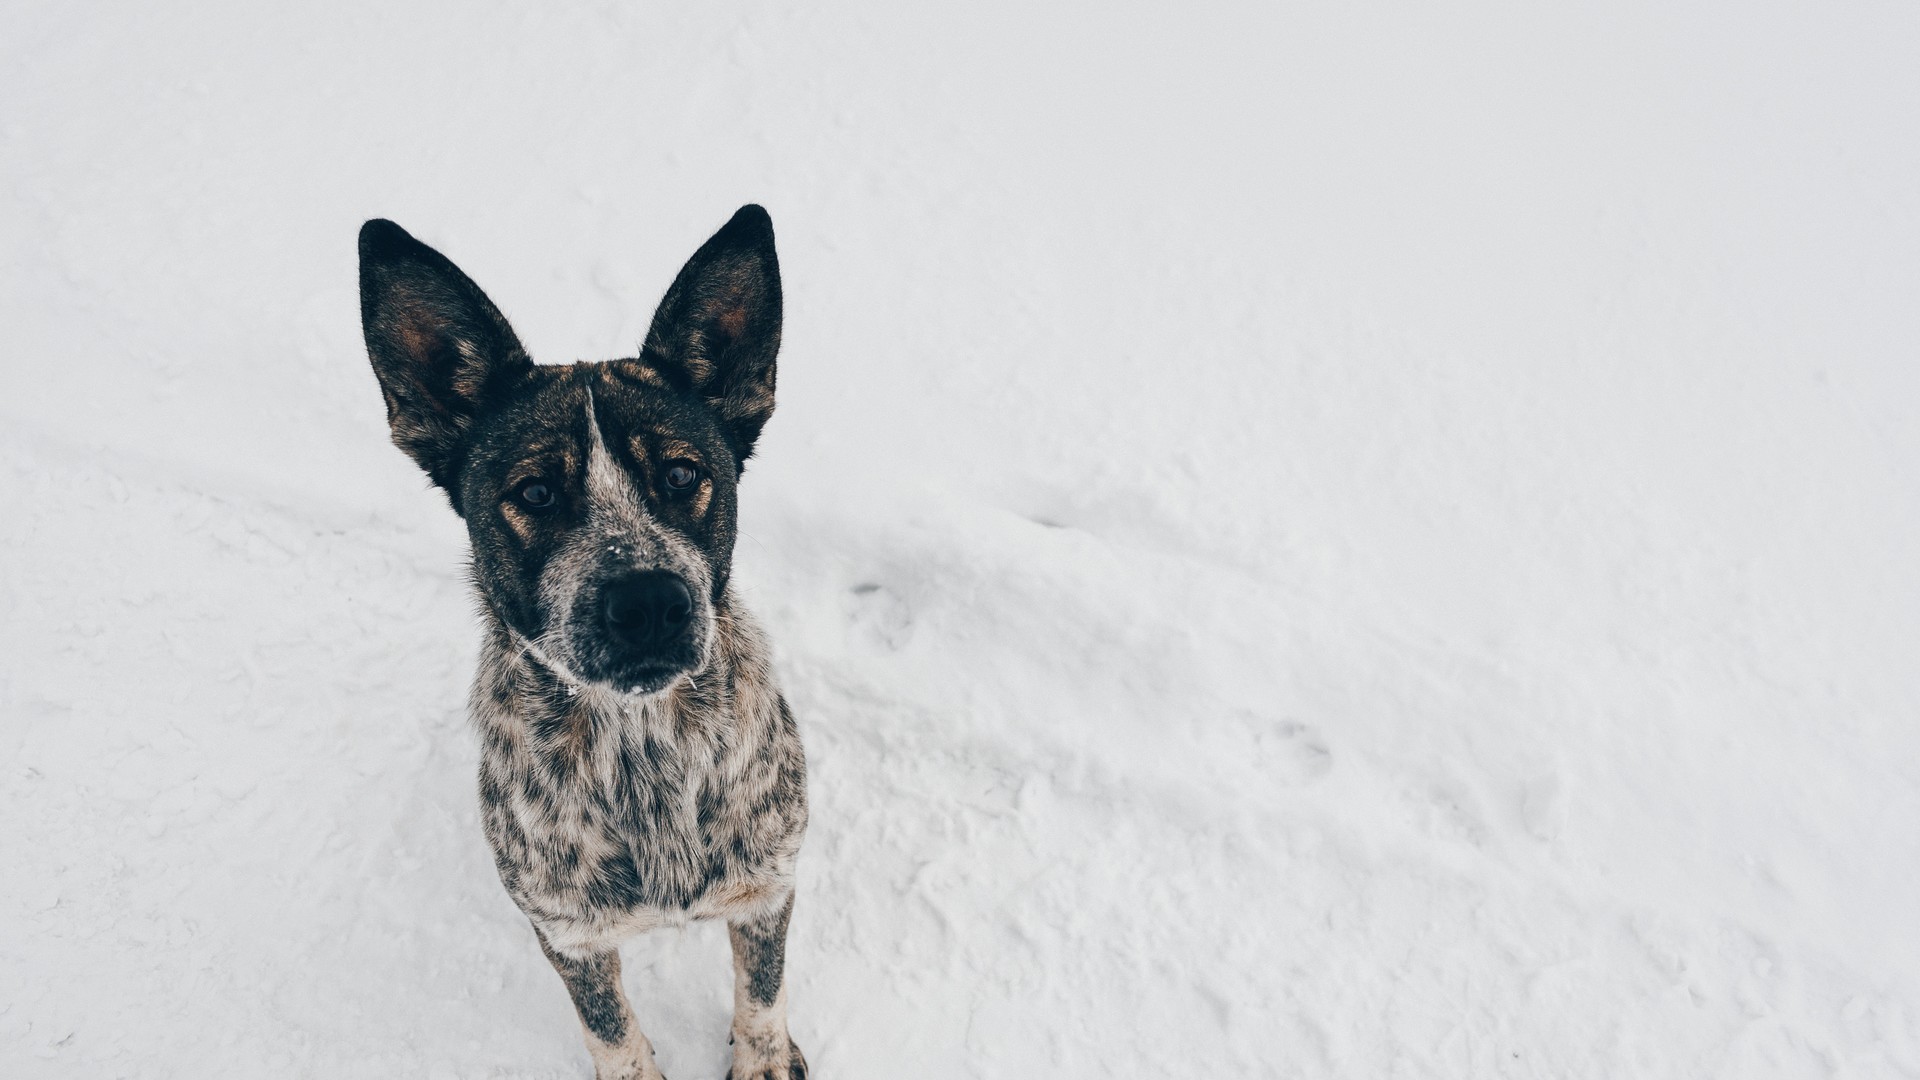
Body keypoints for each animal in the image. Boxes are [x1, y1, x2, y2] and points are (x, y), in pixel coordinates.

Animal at [357, 203, 806, 1076]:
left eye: (681, 475)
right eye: (534, 492)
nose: (650, 602)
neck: (643, 746)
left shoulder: (767, 888)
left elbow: (762, 993)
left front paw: (762, 1056)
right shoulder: (569, 935)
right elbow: (611, 1030)